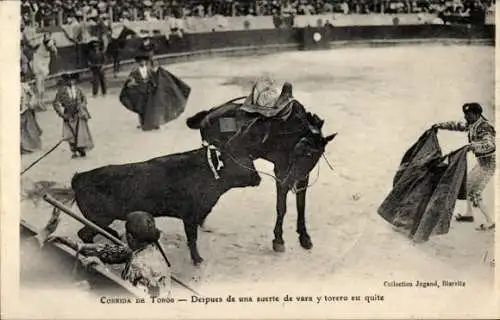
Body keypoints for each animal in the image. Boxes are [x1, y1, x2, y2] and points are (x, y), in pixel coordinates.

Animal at [187, 95, 336, 252]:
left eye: (315, 156)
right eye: (302, 151)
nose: (291, 183)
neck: (289, 133)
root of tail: (209, 113)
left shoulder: (302, 177)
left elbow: (301, 206)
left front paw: (304, 237)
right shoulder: (281, 173)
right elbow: (281, 207)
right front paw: (278, 239)